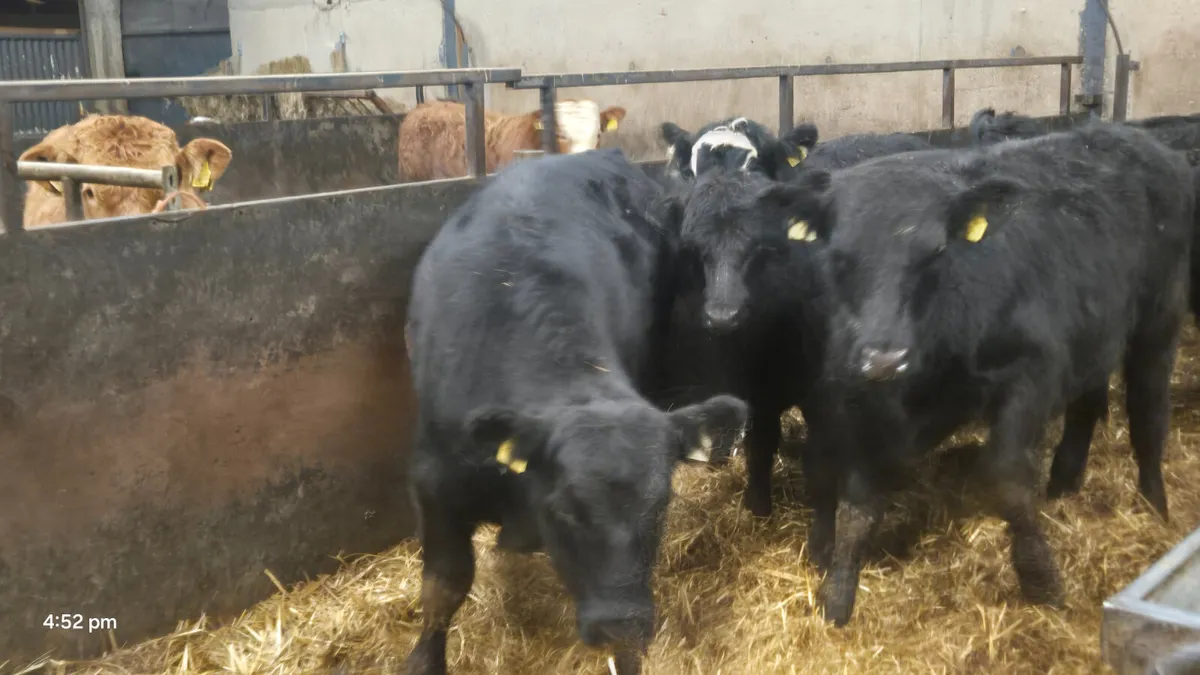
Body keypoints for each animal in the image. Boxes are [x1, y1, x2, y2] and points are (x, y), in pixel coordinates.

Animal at [402, 147, 748, 675]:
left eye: (661, 506)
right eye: (564, 507)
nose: (622, 622)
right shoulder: (434, 483)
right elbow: (444, 587)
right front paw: (424, 659)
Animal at [762, 124, 1194, 626]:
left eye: (935, 252)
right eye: (839, 259)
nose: (885, 358)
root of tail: (1126, 134)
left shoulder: (1032, 374)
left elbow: (1005, 476)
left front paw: (1041, 580)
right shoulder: (867, 407)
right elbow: (856, 504)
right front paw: (837, 596)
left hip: (1159, 319)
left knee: (1148, 410)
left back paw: (1153, 507)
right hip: (1095, 333)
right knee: (1086, 404)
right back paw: (1064, 482)